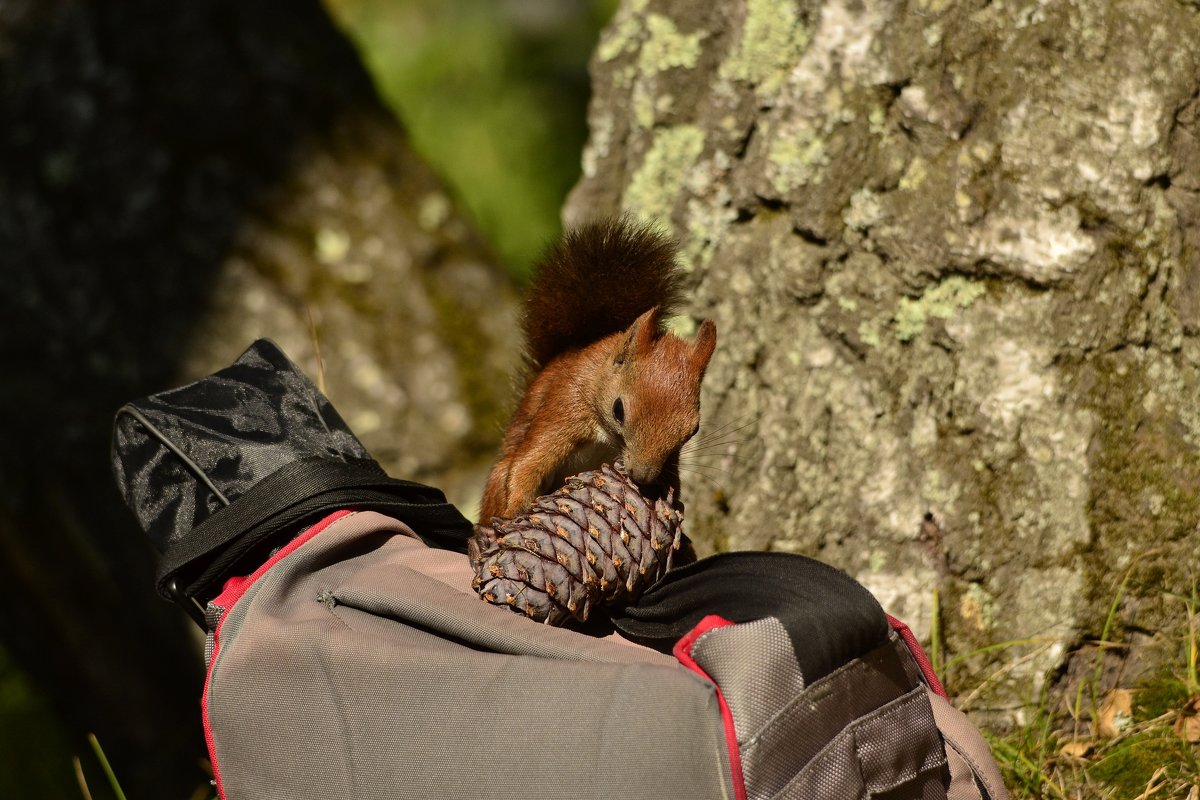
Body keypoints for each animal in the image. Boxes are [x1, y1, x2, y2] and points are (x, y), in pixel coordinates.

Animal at [475, 215, 715, 525]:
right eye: (618, 410)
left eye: (693, 429)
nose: (643, 477)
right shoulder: (565, 405)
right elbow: (529, 461)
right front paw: (516, 509)